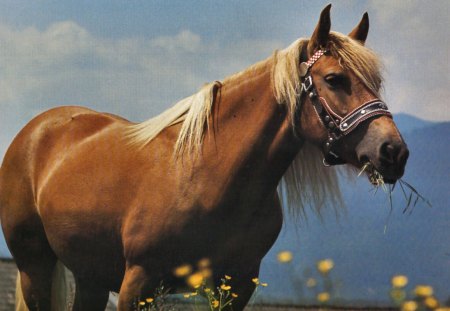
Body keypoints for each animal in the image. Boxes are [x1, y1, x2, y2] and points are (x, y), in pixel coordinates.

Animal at [0, 5, 408, 311]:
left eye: (376, 83)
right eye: (335, 79)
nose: (394, 151)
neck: (210, 176)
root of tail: (36, 130)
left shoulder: (236, 285)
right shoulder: (138, 282)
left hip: (90, 276)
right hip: (34, 267)